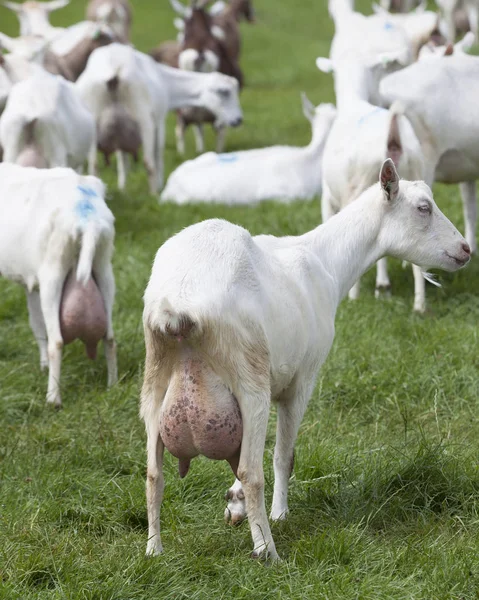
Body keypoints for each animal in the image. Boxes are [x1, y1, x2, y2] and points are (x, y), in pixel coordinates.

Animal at [0, 163, 117, 408]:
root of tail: (87, 218)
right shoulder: (30, 282)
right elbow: (36, 324)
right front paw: (42, 365)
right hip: (103, 268)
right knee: (110, 337)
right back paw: (113, 386)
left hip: (52, 275)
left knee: (57, 341)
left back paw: (53, 399)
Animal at [77, 42, 244, 192]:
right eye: (225, 92)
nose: (238, 120)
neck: (166, 81)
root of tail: (114, 71)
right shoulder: (159, 121)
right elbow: (158, 154)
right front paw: (159, 184)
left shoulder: (121, 132)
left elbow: (122, 159)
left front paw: (122, 187)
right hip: (144, 119)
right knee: (149, 162)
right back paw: (154, 194)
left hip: (93, 123)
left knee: (94, 164)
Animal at [141, 161, 470, 564]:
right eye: (424, 207)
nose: (465, 249)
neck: (325, 261)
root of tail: (177, 307)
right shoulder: (300, 380)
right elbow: (284, 455)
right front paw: (280, 514)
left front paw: (234, 505)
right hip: (250, 379)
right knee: (252, 470)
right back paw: (268, 551)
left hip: (155, 383)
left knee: (154, 473)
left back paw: (154, 550)